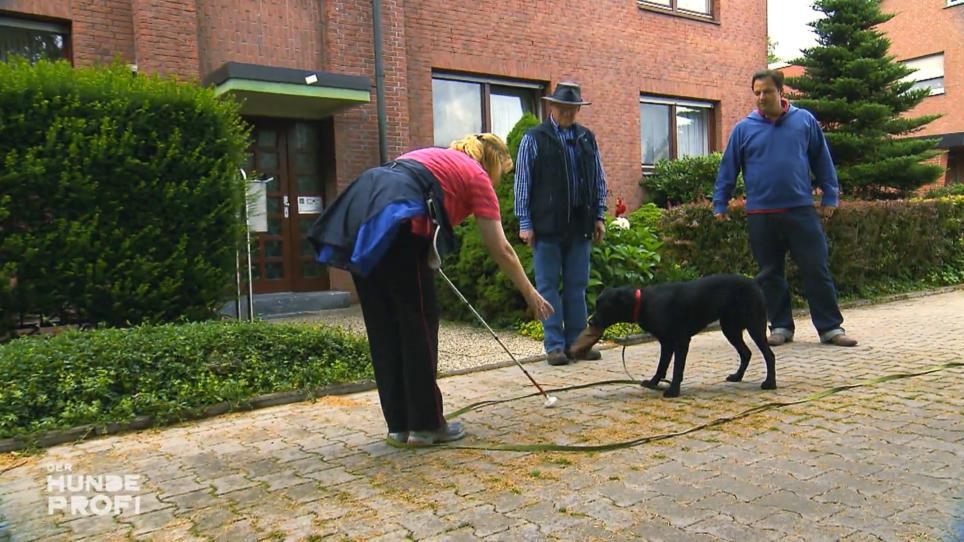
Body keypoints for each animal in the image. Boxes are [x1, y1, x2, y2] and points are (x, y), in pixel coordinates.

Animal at [572, 274, 776, 398]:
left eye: (604, 306)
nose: (591, 321)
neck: (643, 302)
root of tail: (754, 282)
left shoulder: (680, 341)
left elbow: (677, 368)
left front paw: (673, 390)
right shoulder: (666, 342)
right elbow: (661, 366)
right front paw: (653, 383)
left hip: (754, 326)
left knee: (769, 355)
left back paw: (770, 383)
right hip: (730, 328)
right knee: (746, 353)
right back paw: (737, 376)